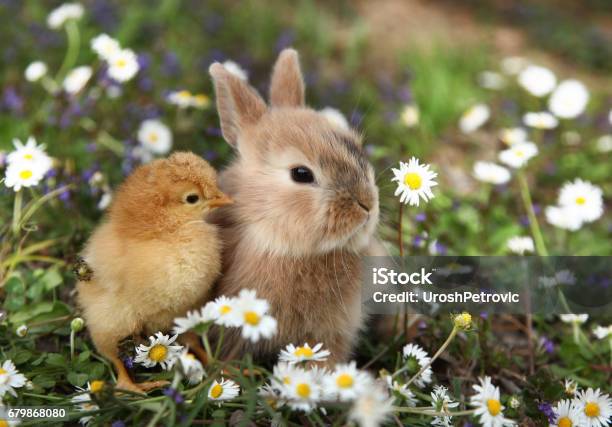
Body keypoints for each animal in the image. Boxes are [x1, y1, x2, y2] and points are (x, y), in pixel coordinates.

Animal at [76, 152, 230, 392]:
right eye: (192, 198)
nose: (224, 198)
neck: (169, 236)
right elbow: (114, 356)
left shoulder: (186, 310)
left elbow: (195, 341)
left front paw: (220, 366)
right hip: (109, 319)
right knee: (113, 354)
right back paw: (132, 386)